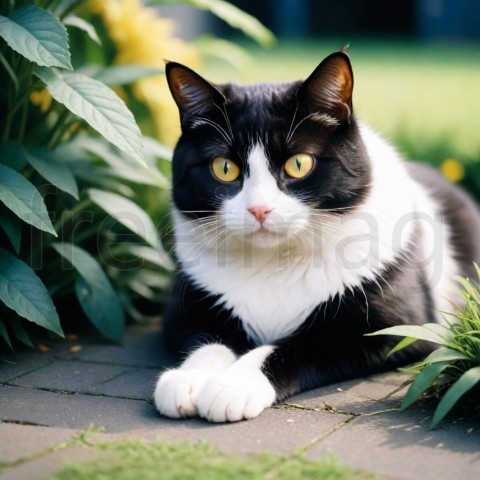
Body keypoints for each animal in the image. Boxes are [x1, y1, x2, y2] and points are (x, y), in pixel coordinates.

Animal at [153, 49, 480, 424]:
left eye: (299, 164)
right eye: (224, 168)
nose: (259, 209)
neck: (273, 261)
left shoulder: (402, 328)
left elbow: (297, 346)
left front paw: (233, 385)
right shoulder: (184, 310)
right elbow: (205, 339)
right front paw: (187, 380)